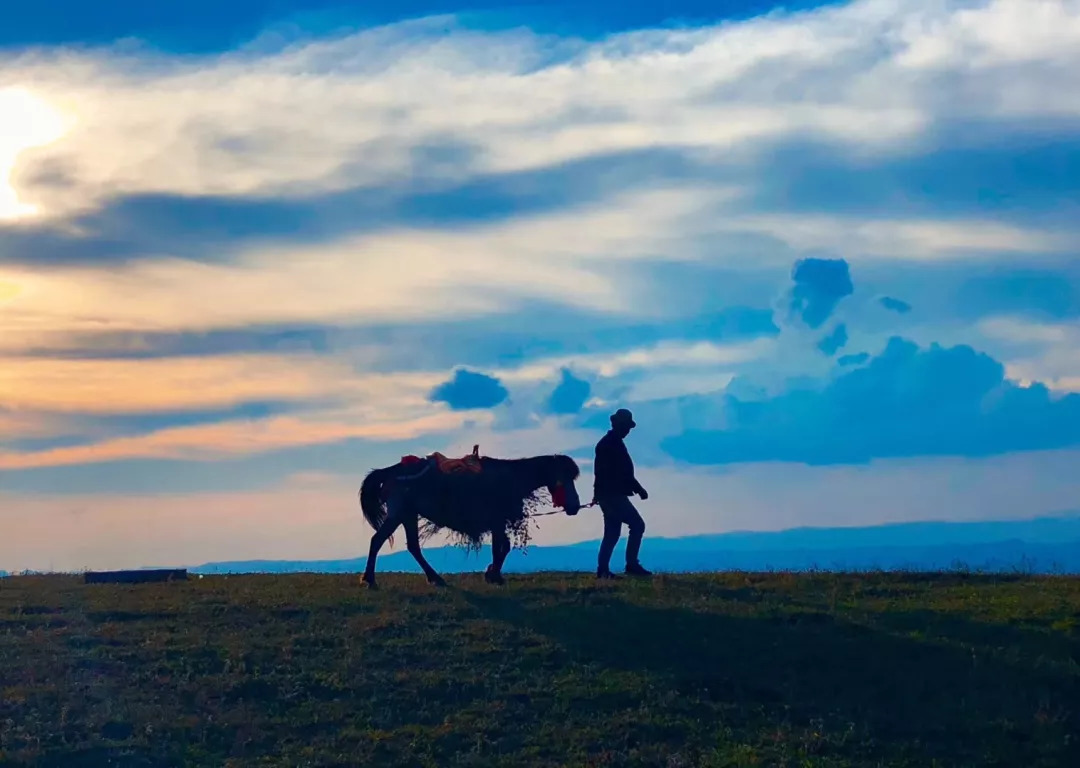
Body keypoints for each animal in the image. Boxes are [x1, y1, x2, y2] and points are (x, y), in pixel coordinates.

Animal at [360, 453, 583, 587]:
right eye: (564, 478)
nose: (575, 506)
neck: (510, 478)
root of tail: (391, 471)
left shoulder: (498, 523)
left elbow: (502, 547)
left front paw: (493, 573)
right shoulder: (497, 521)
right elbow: (501, 547)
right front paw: (494, 575)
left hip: (408, 515)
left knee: (413, 546)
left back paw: (435, 578)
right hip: (398, 514)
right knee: (377, 540)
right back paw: (369, 580)